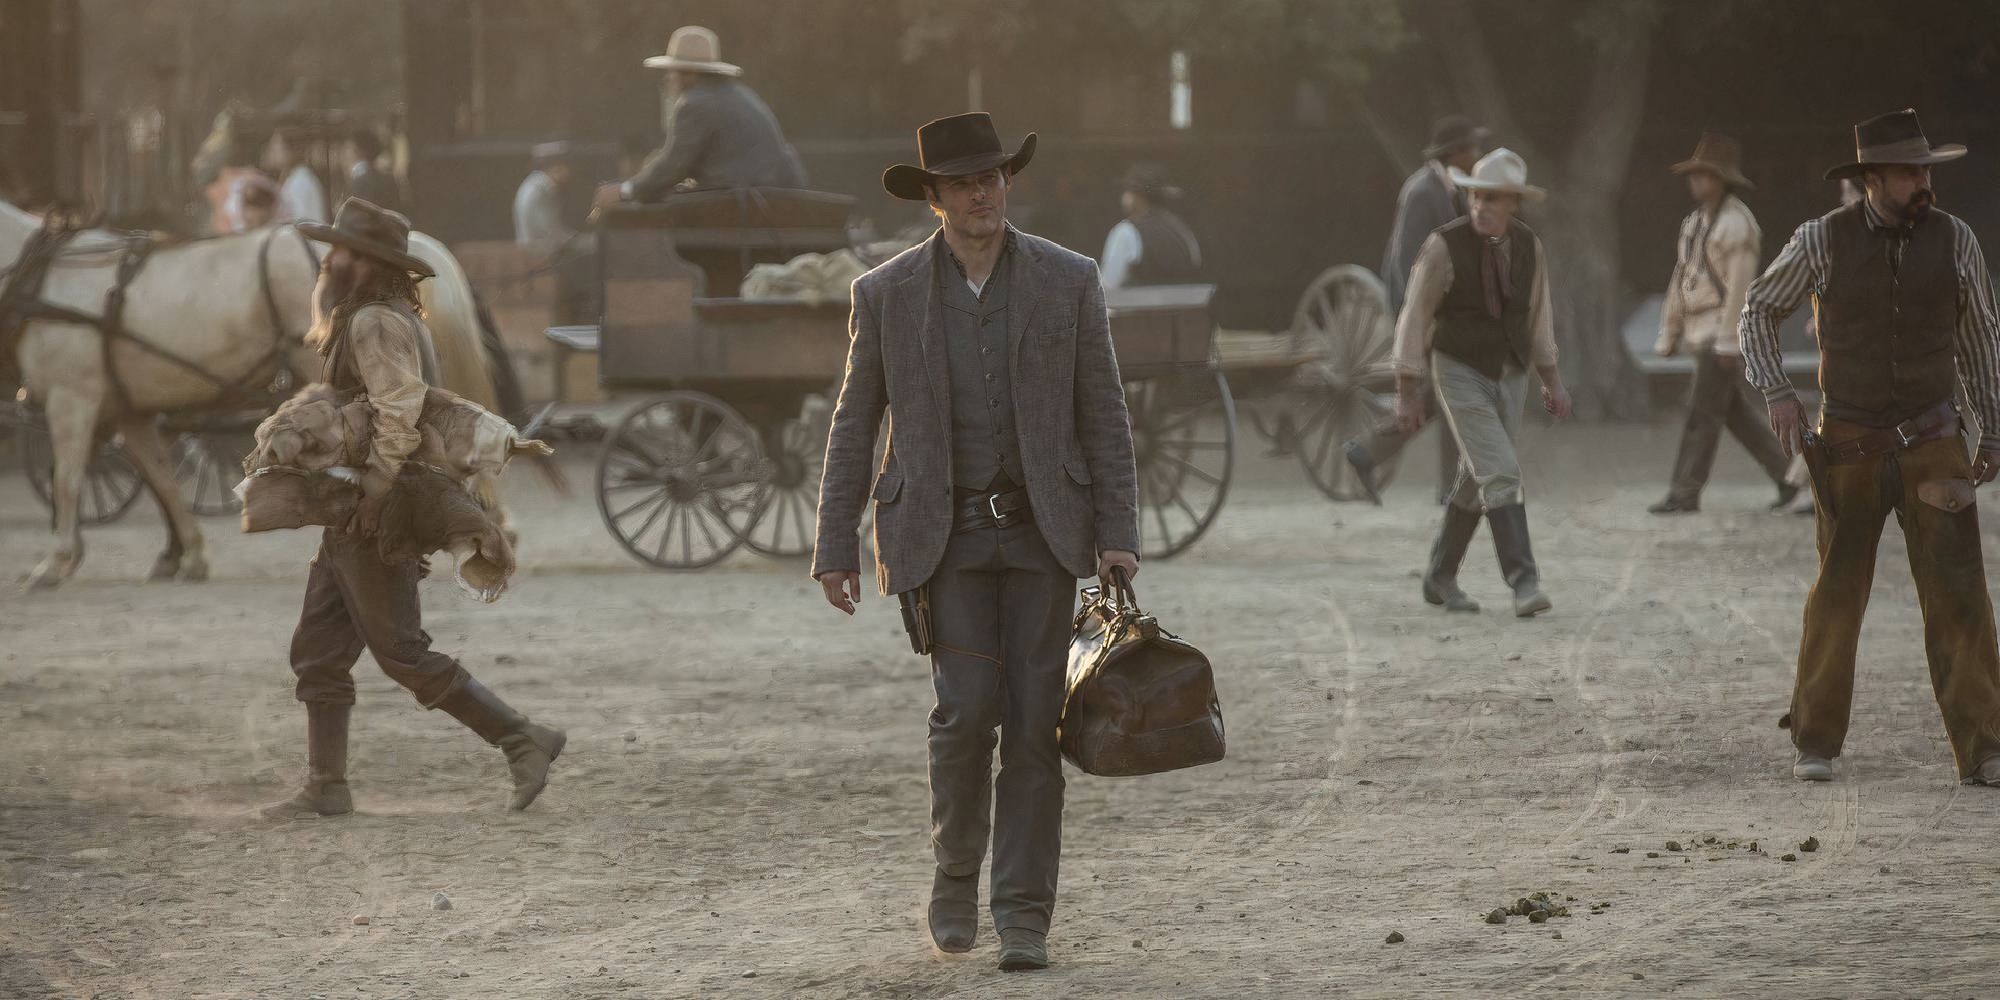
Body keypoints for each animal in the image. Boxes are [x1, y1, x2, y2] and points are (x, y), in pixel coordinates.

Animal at [9, 201, 508, 592]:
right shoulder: (126, 410)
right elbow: (160, 477)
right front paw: (186, 555)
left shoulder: (72, 398)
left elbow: (67, 479)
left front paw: (56, 561)